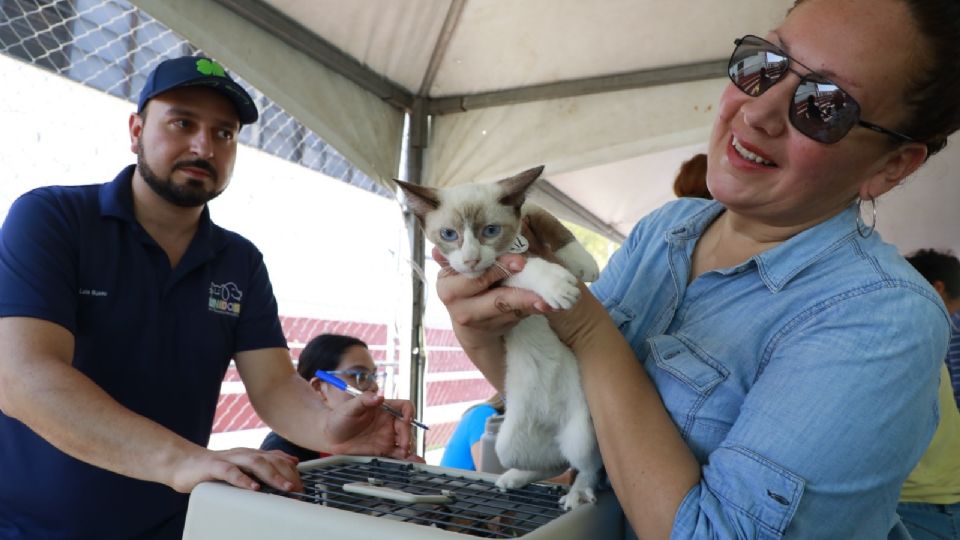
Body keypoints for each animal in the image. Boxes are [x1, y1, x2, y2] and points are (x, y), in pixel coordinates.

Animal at [394, 166, 604, 510]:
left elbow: (549, 220)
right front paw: (556, 284)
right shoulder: (487, 280)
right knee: (556, 463)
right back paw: (515, 479)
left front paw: (581, 262)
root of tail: (552, 425)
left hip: (581, 433)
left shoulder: (527, 211)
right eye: (448, 235)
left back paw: (575, 494)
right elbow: (520, 269)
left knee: (585, 465)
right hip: (507, 443)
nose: (470, 260)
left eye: (490, 230)